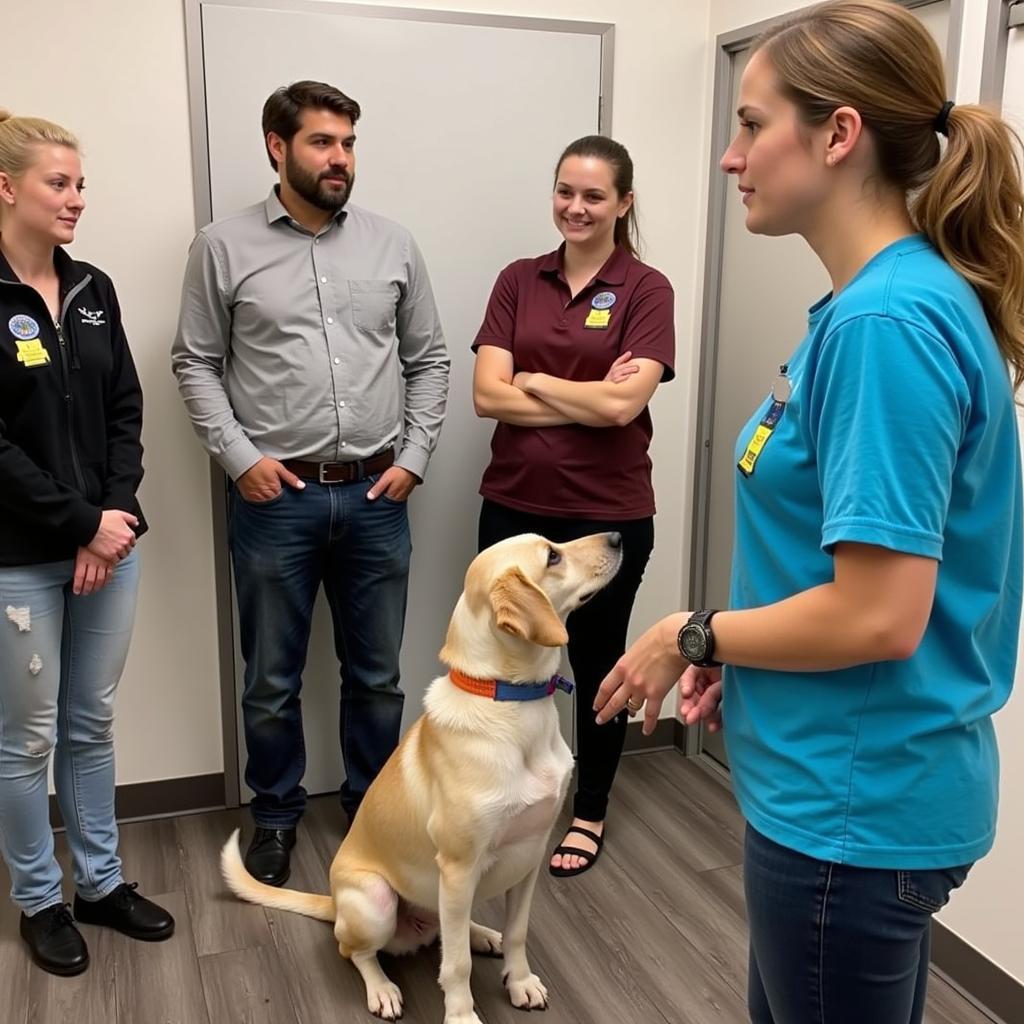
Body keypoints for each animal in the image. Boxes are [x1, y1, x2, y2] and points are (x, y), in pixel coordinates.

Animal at [220, 532, 618, 1019]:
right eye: (553, 556)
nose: (618, 538)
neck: (508, 700)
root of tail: (333, 903)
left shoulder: (530, 854)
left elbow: (518, 932)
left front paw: (520, 981)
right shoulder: (459, 868)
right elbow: (457, 967)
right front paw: (462, 1016)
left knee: (450, 930)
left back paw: (482, 934)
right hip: (376, 902)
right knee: (356, 951)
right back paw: (382, 989)